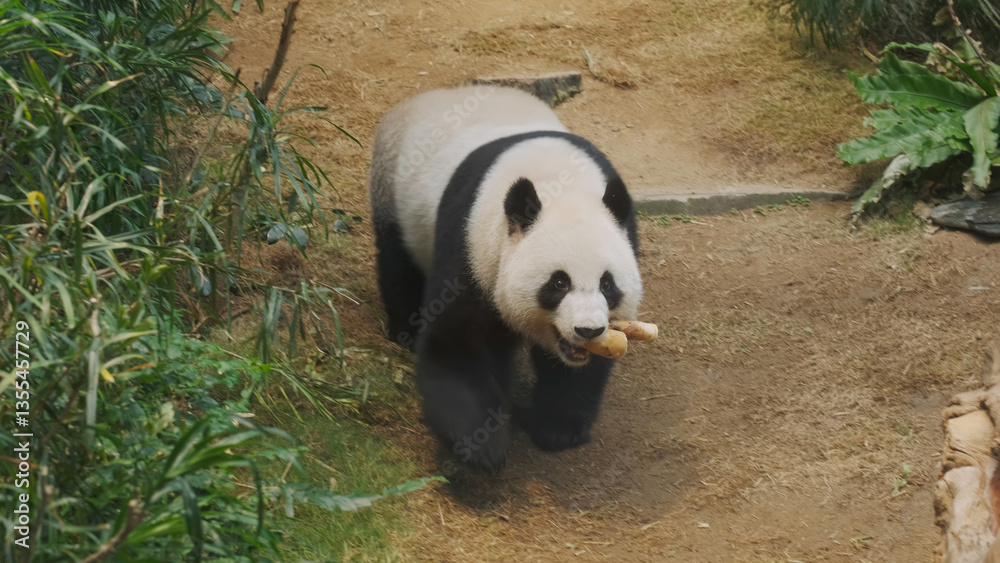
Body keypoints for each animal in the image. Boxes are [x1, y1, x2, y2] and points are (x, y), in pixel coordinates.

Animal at [368, 85, 643, 472]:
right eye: (558, 283)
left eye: (607, 284)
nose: (587, 330)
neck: (561, 184)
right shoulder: (470, 244)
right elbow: (456, 341)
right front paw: (483, 445)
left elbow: (583, 367)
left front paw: (558, 428)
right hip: (391, 187)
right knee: (397, 260)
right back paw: (404, 329)